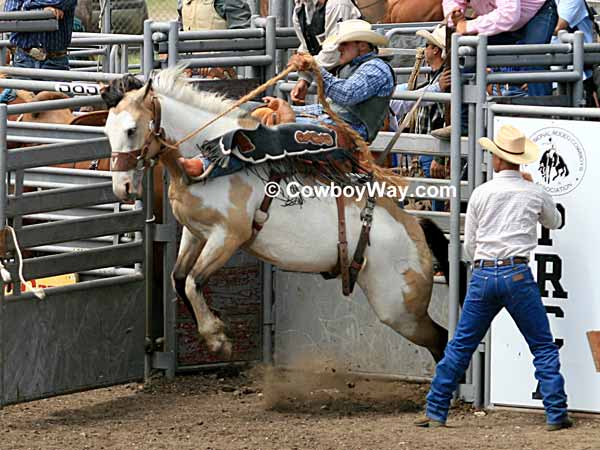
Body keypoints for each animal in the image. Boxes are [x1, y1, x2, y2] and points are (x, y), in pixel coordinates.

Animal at [104, 67, 450, 362]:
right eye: (107, 130)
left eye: (131, 130)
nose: (122, 187)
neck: (212, 158)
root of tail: (416, 228)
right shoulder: (196, 231)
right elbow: (178, 279)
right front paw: (215, 325)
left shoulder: (229, 236)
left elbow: (193, 281)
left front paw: (218, 338)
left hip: (398, 307)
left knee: (440, 339)